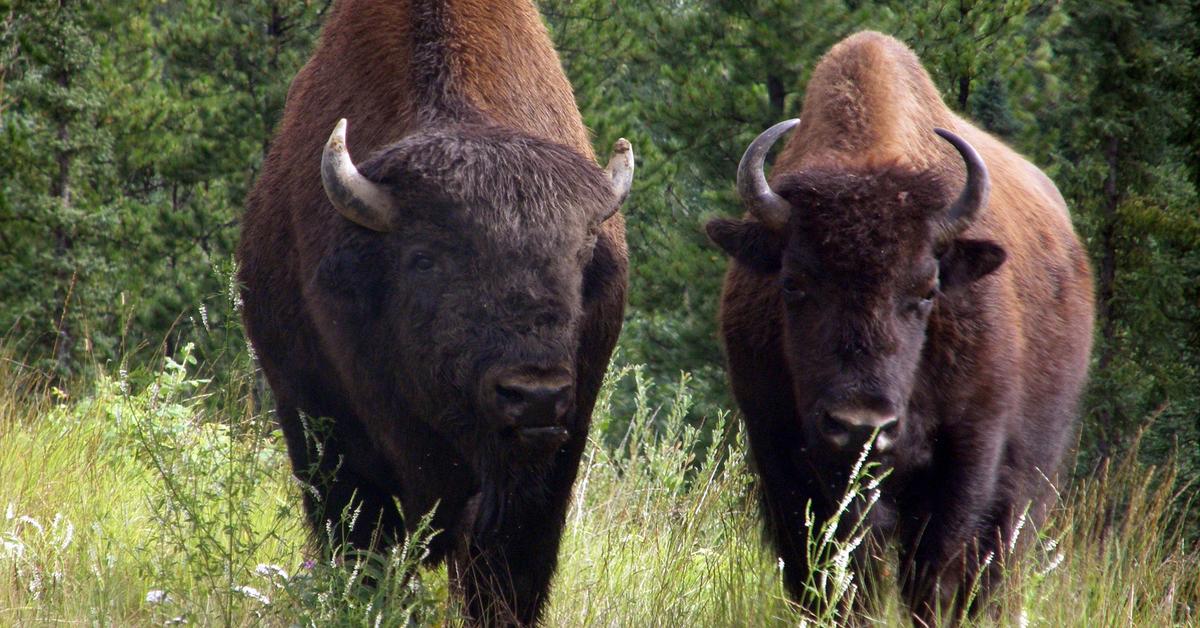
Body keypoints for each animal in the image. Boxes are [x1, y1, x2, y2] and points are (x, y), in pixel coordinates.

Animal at [231, 0, 638, 619]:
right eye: (424, 259)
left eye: (581, 254)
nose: (534, 394)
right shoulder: (322, 424)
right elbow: (362, 543)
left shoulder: (552, 456)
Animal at [700, 30, 1099, 624]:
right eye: (793, 283)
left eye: (927, 291)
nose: (860, 426)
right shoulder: (783, 459)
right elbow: (830, 577)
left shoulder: (967, 461)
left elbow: (933, 576)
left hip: (1027, 483)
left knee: (993, 570)